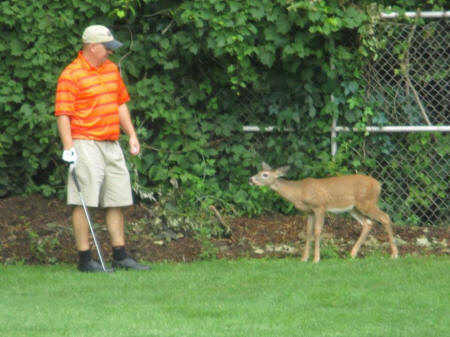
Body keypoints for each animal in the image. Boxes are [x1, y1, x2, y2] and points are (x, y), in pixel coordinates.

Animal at [250, 162, 400, 262]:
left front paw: (316, 258)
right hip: (353, 208)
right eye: (258, 172)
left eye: (265, 175)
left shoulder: (319, 206)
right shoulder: (309, 212)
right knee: (368, 223)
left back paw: (394, 254)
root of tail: (379, 185)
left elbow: (317, 231)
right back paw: (352, 254)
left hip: (367, 203)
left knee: (385, 217)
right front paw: (304, 258)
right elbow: (308, 232)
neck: (299, 192)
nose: (250, 179)